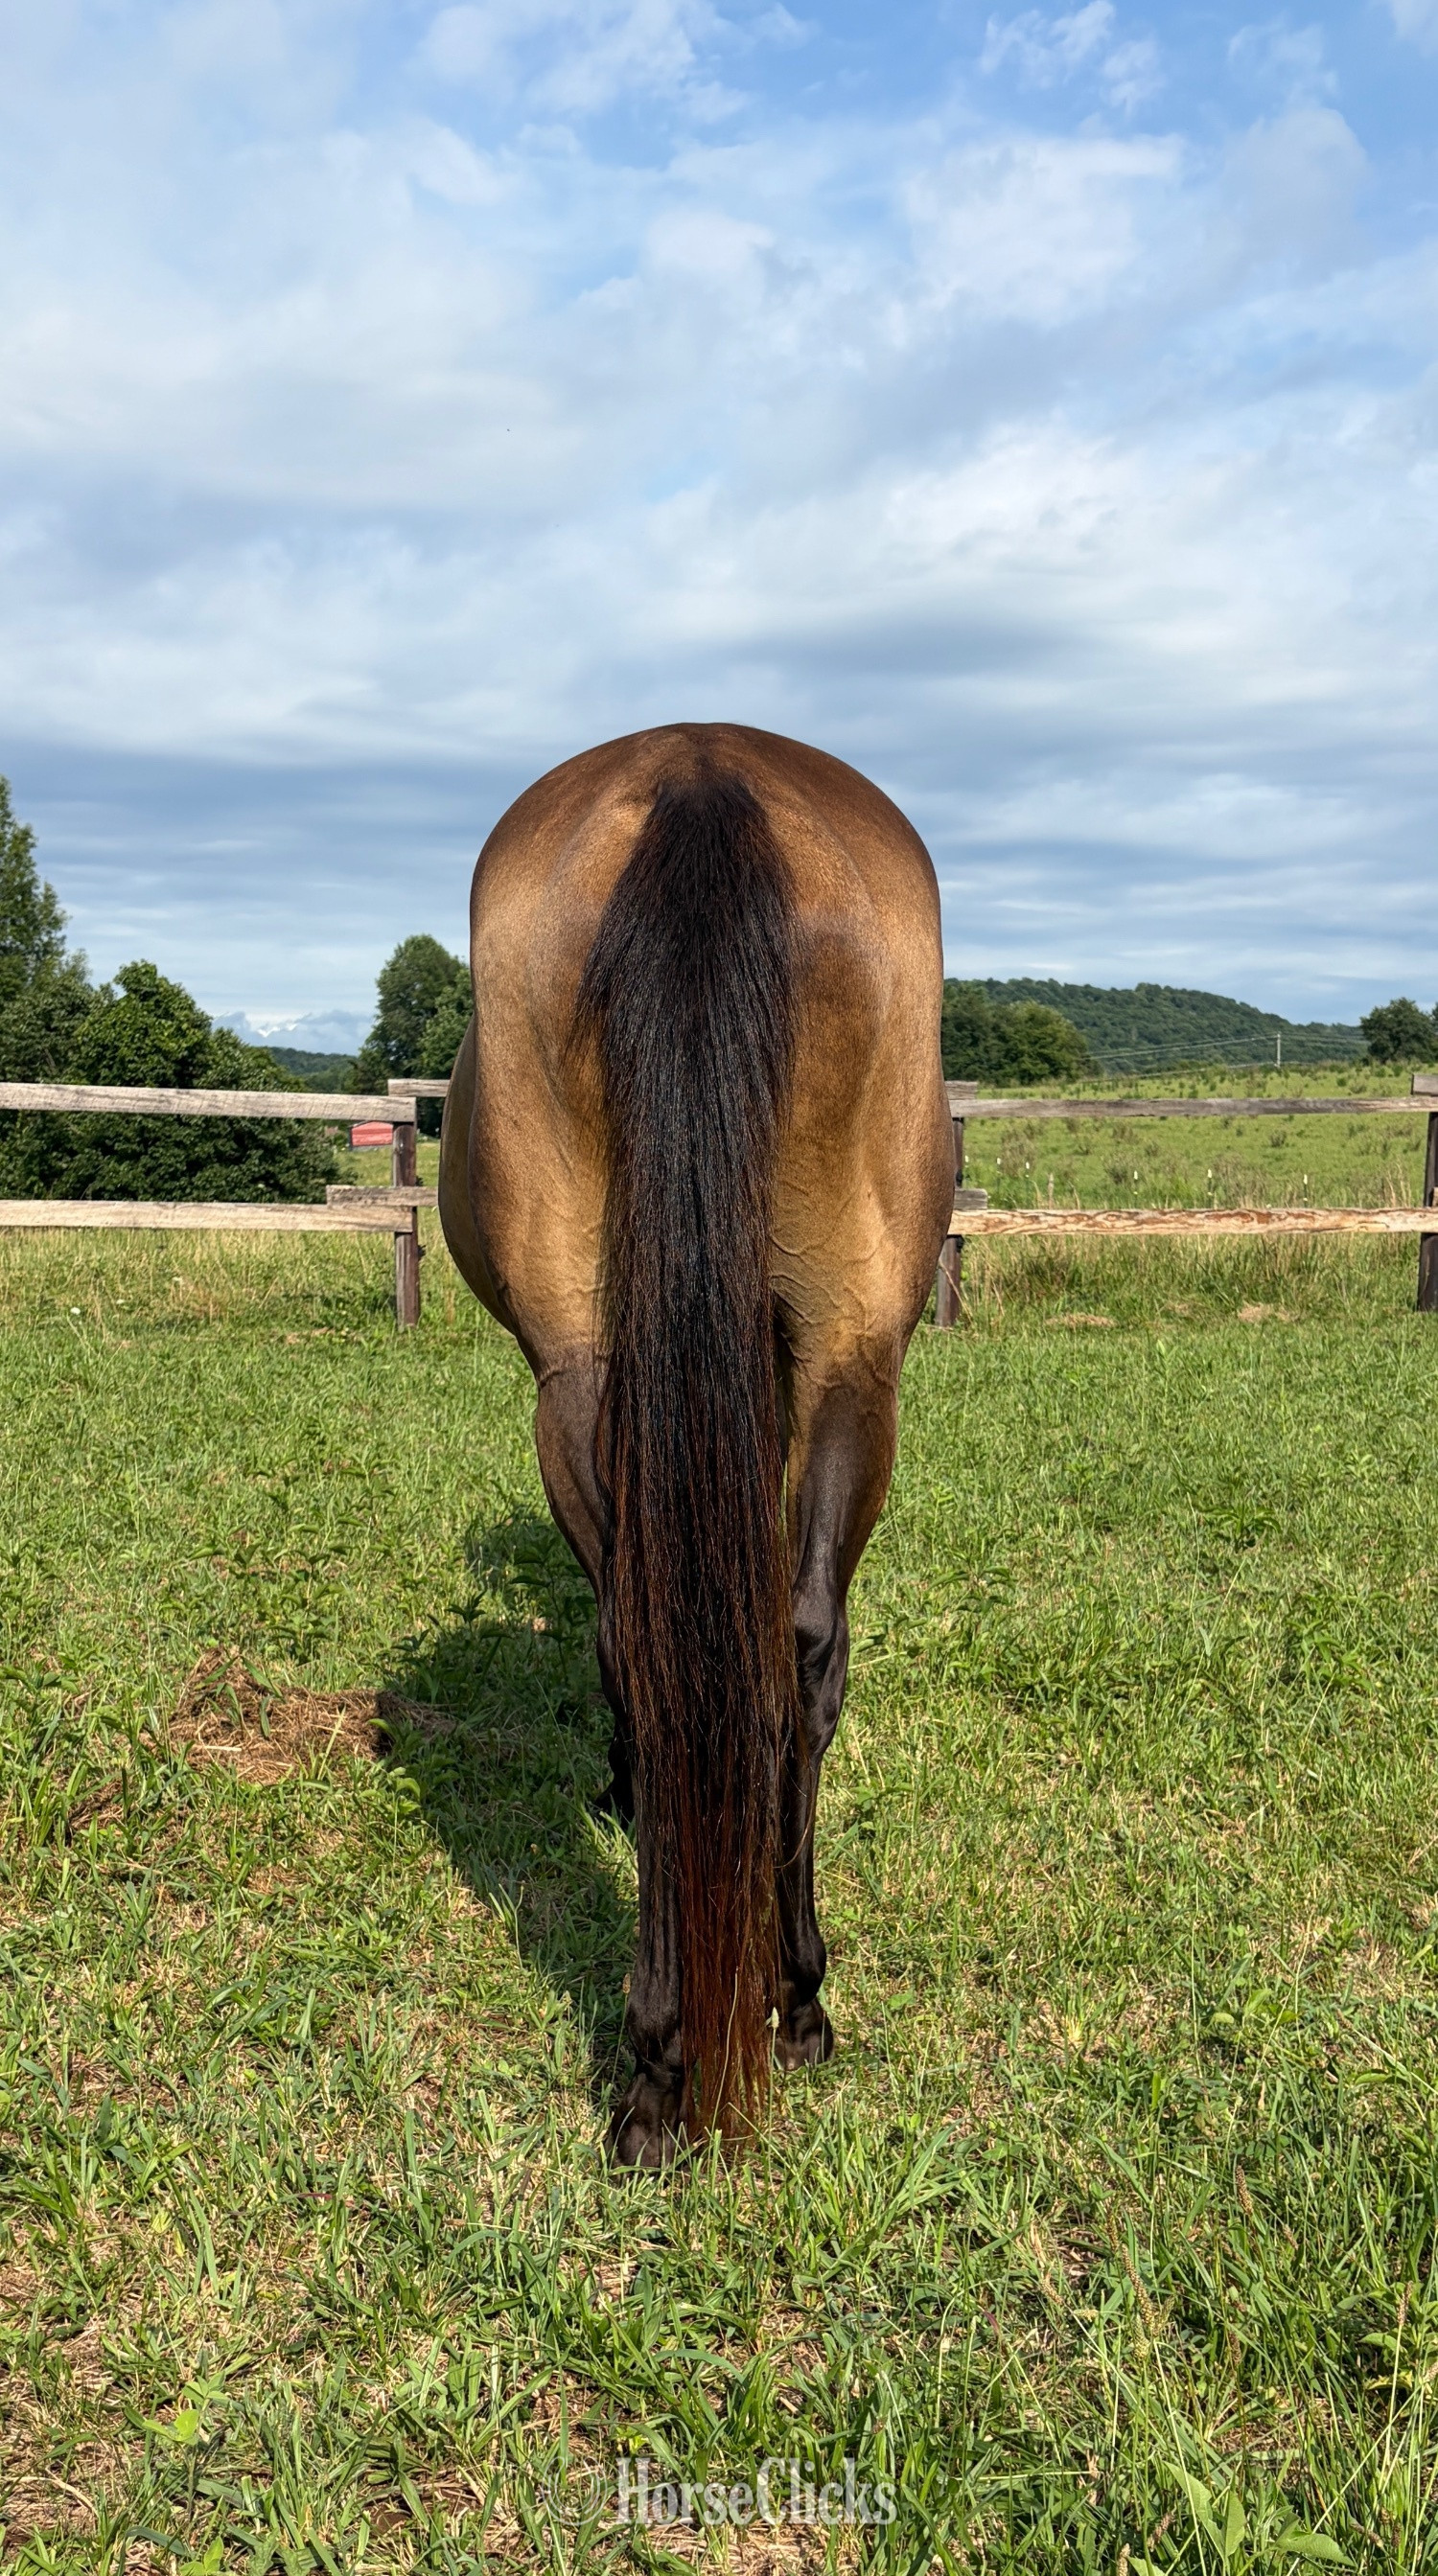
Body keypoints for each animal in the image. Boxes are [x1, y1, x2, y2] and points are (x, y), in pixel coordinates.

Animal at [438, 723, 953, 2165]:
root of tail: (702, 770)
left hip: (582, 1375)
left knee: (650, 1636)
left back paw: (674, 2055)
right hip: (849, 1360)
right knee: (791, 1644)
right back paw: (781, 2005)